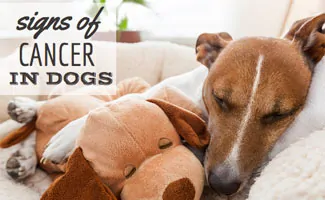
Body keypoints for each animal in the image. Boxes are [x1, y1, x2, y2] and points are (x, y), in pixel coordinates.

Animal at [2, 13, 324, 198]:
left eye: (280, 114)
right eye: (219, 98)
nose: (222, 185)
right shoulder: (159, 89)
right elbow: (120, 103)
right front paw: (66, 137)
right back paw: (26, 115)